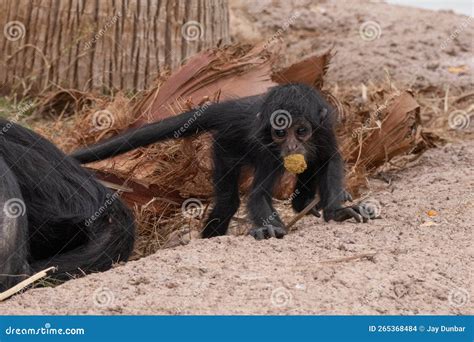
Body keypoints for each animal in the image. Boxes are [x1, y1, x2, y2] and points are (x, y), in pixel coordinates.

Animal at [71, 82, 366, 240]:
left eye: (301, 130)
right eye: (280, 132)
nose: (293, 145)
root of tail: (239, 107)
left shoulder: (325, 129)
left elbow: (330, 160)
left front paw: (337, 211)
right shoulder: (269, 151)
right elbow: (257, 195)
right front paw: (269, 228)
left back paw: (302, 202)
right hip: (225, 147)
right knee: (228, 202)